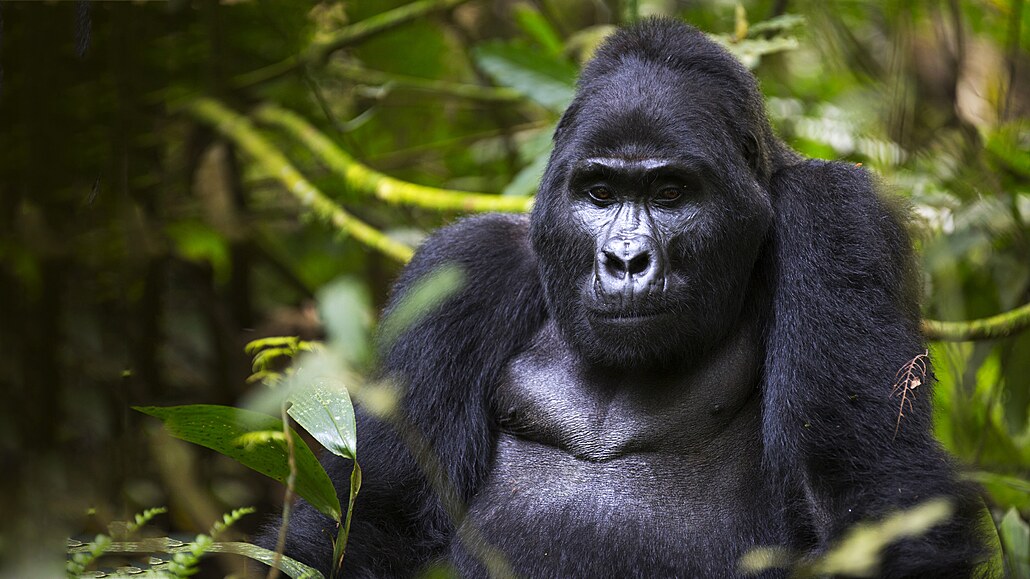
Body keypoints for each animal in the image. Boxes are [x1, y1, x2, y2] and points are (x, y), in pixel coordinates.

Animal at [267, 19, 988, 576]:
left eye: (670, 193)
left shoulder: (837, 218)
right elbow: (371, 519)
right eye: (600, 193)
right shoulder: (463, 268)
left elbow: (868, 498)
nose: (625, 260)